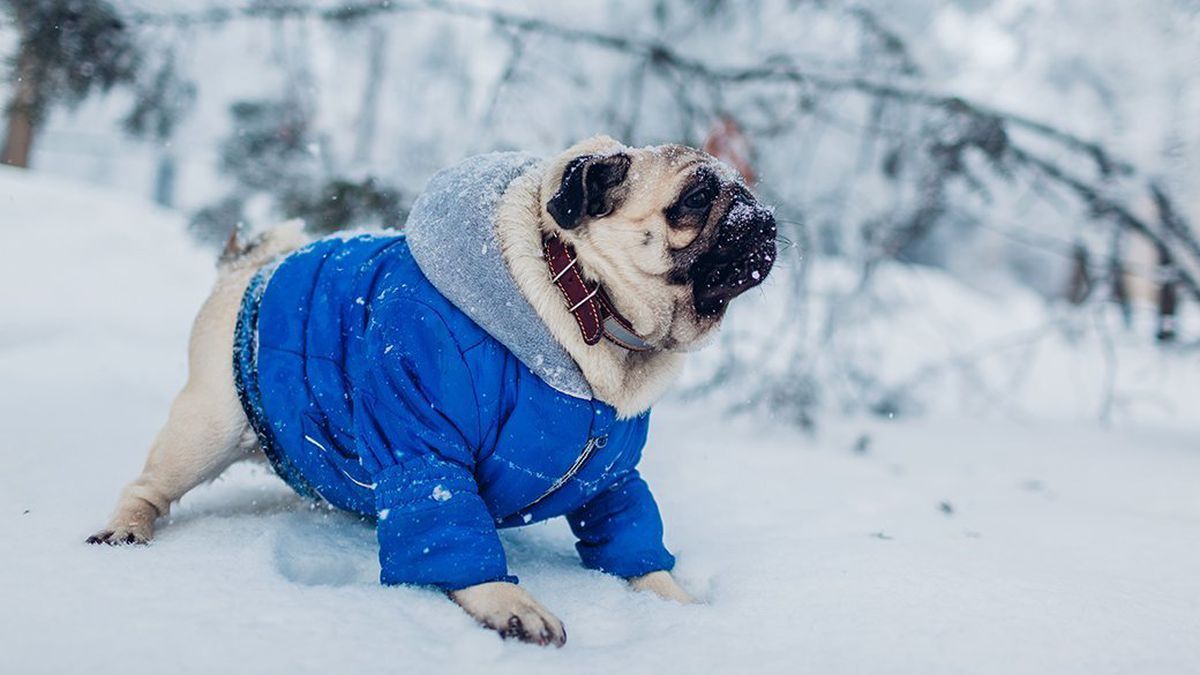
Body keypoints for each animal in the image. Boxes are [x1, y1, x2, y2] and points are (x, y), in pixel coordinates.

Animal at [87, 133, 777, 643]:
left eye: (747, 190)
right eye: (696, 197)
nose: (762, 217)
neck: (580, 301)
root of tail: (251, 266)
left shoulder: (612, 478)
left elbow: (632, 539)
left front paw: (674, 602)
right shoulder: (422, 442)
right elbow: (447, 526)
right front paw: (507, 602)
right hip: (206, 428)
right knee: (150, 486)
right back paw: (125, 530)